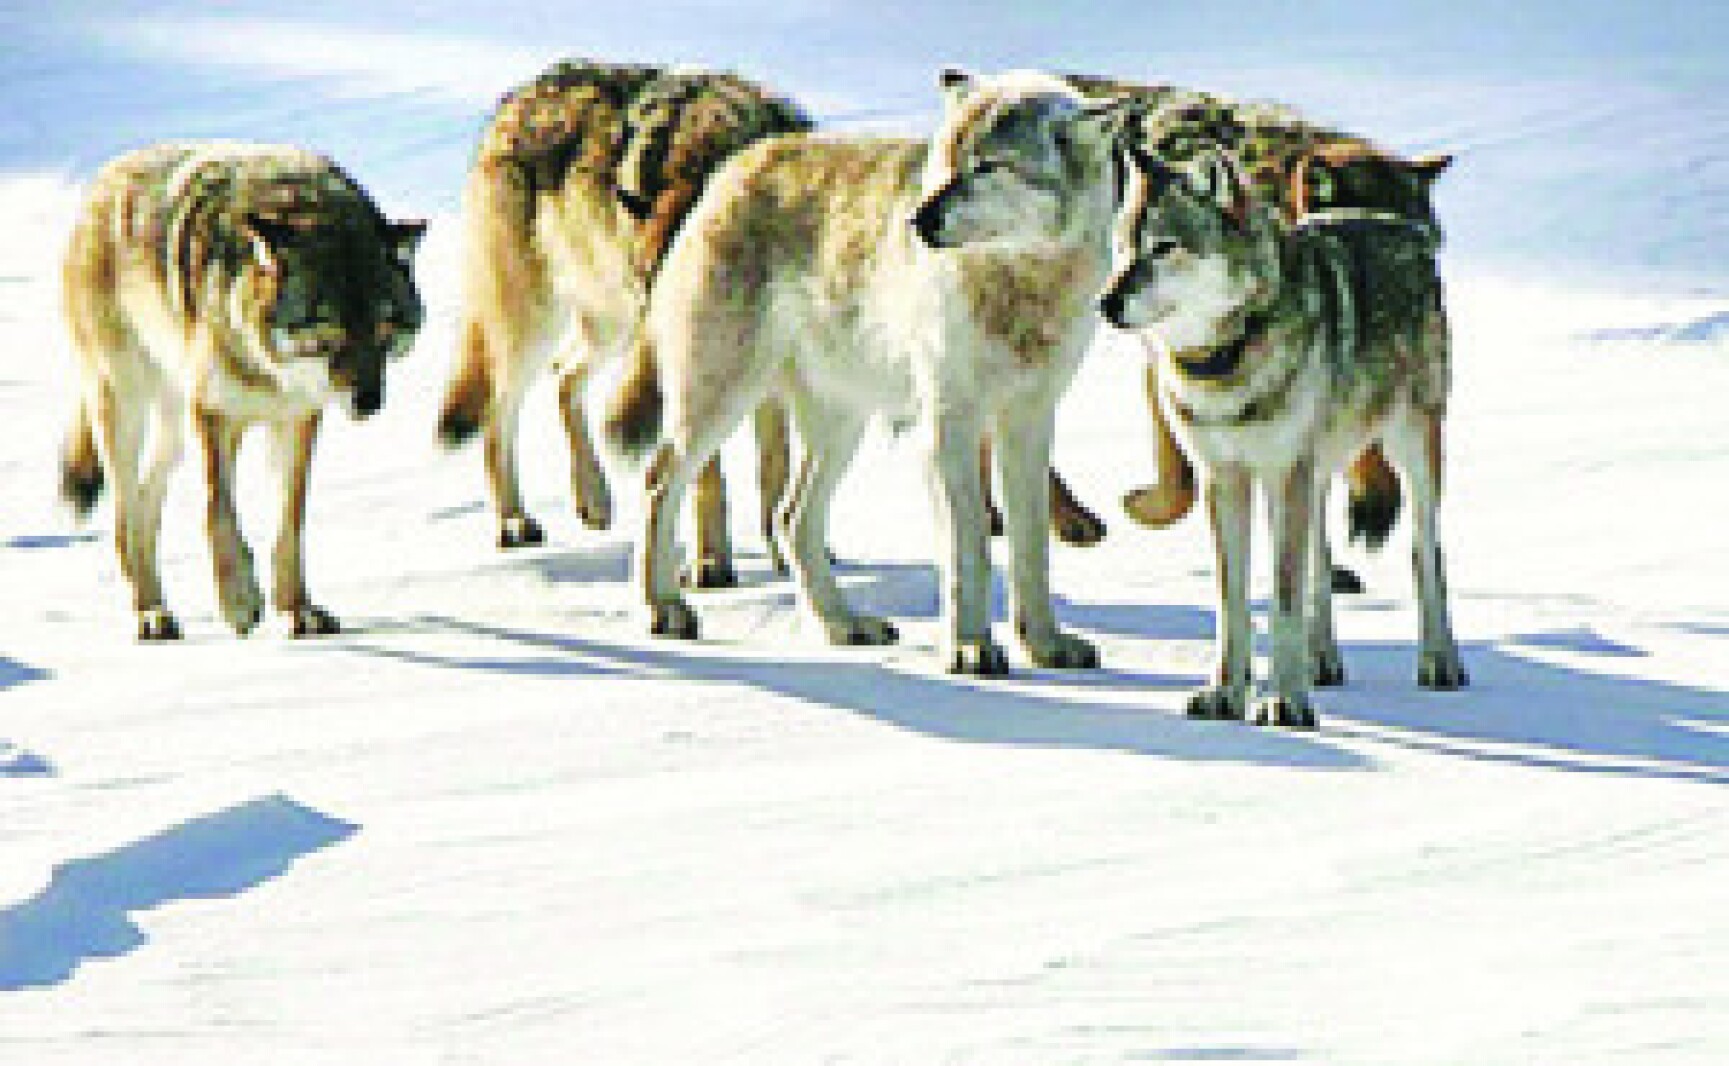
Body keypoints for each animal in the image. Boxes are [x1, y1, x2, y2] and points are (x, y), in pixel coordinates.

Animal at [61, 142, 425, 640]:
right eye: (329, 330)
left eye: (385, 328)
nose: (368, 403)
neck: (269, 367)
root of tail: (103, 178)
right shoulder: (214, 415)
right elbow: (219, 513)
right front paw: (238, 602)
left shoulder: (298, 420)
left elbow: (290, 522)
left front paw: (298, 609)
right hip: (127, 410)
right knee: (124, 518)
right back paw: (150, 614)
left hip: (173, 434)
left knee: (145, 506)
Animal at [437, 60, 810, 585]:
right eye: (655, 281)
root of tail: (515, 99)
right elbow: (708, 477)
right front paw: (711, 563)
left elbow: (774, 466)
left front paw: (786, 557)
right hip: (539, 325)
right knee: (499, 406)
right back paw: (514, 520)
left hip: (610, 326)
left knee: (563, 375)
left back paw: (592, 499)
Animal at [607, 69, 1124, 675]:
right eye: (947, 163)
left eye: (989, 166)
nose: (918, 220)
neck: (1020, 281)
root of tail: (733, 165)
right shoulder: (948, 426)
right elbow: (970, 549)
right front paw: (971, 649)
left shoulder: (1029, 422)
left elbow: (1030, 547)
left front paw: (1044, 644)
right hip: (719, 405)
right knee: (659, 482)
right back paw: (663, 608)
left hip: (841, 425)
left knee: (790, 517)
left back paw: (841, 624)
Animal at [1100, 140, 1467, 726]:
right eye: (1122, 248)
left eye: (1163, 247)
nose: (1105, 304)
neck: (1226, 358)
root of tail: (1401, 225)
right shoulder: (1225, 478)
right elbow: (1233, 602)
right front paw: (1226, 693)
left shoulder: (1285, 471)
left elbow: (1283, 598)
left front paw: (1284, 701)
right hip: (1315, 475)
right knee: (1321, 558)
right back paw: (1323, 662)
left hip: (1411, 450)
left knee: (1424, 552)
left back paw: (1440, 662)